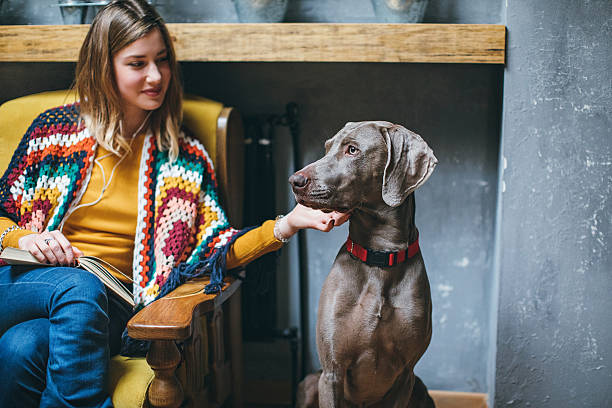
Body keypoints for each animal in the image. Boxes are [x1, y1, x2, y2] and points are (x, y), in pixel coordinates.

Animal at [290, 119, 438, 406]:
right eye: (327, 148)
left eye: (352, 150)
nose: (294, 180)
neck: (379, 257)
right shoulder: (331, 372)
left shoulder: (406, 375)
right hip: (311, 382)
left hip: (421, 389)